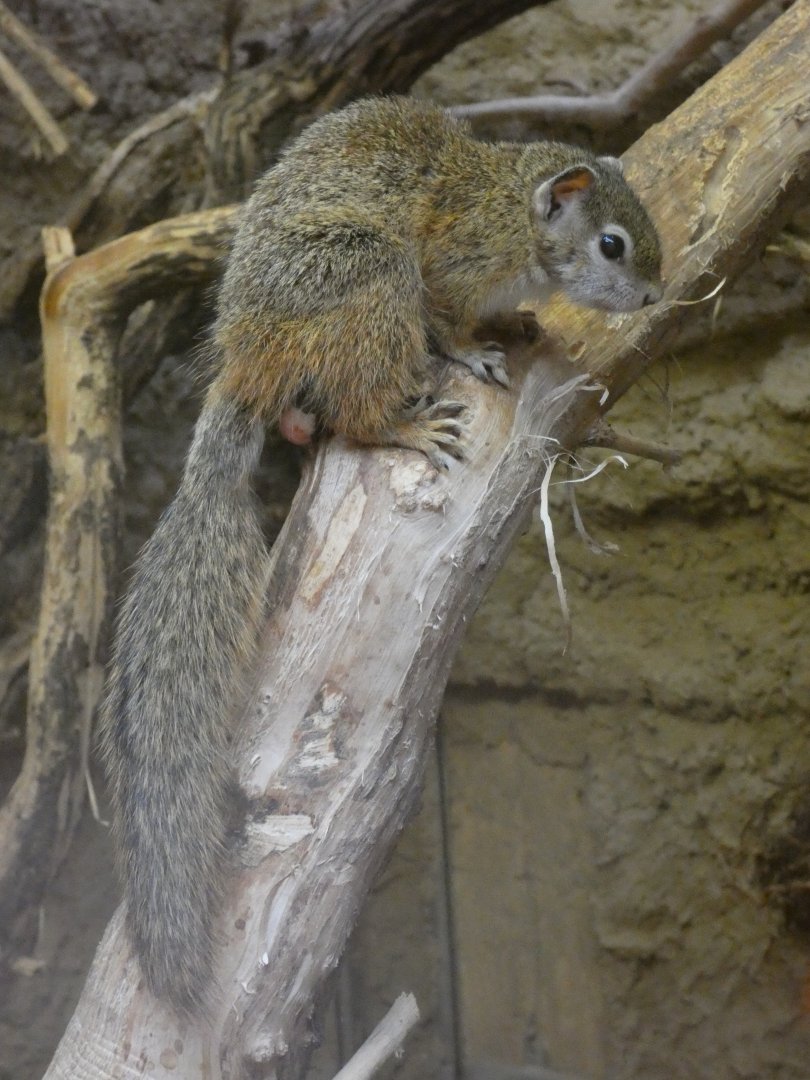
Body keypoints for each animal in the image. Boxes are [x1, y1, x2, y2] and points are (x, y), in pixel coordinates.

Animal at [98, 95, 662, 1013]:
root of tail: (248, 360)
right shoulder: (451, 258)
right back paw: (401, 421)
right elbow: (451, 316)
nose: (653, 291)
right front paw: (472, 346)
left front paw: (517, 320)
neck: (515, 212)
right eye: (611, 243)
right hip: (369, 277)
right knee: (360, 408)